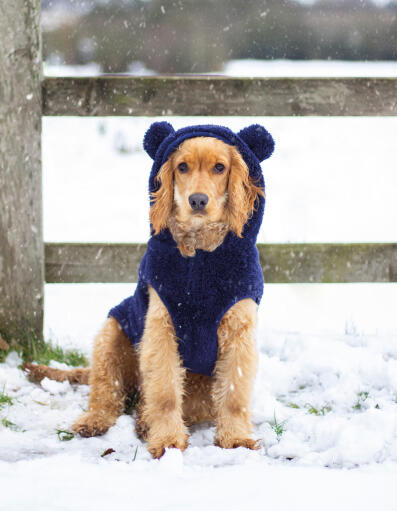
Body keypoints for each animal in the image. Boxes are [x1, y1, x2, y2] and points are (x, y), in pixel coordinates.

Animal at [24, 123, 272, 460]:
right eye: (182, 167)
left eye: (220, 167)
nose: (197, 200)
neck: (200, 255)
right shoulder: (160, 329)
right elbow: (165, 391)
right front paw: (166, 440)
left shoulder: (239, 333)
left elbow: (233, 393)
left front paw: (235, 439)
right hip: (111, 332)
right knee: (107, 392)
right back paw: (96, 420)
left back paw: (143, 421)